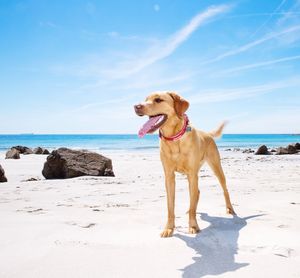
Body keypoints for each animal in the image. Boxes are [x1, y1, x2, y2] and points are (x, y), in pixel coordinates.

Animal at [135, 92, 236, 238]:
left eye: (158, 100)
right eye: (145, 99)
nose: (136, 106)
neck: (174, 138)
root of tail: (207, 134)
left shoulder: (192, 174)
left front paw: (193, 225)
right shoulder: (169, 176)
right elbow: (170, 206)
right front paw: (169, 228)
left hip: (216, 167)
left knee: (224, 190)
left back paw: (230, 209)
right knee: (197, 193)